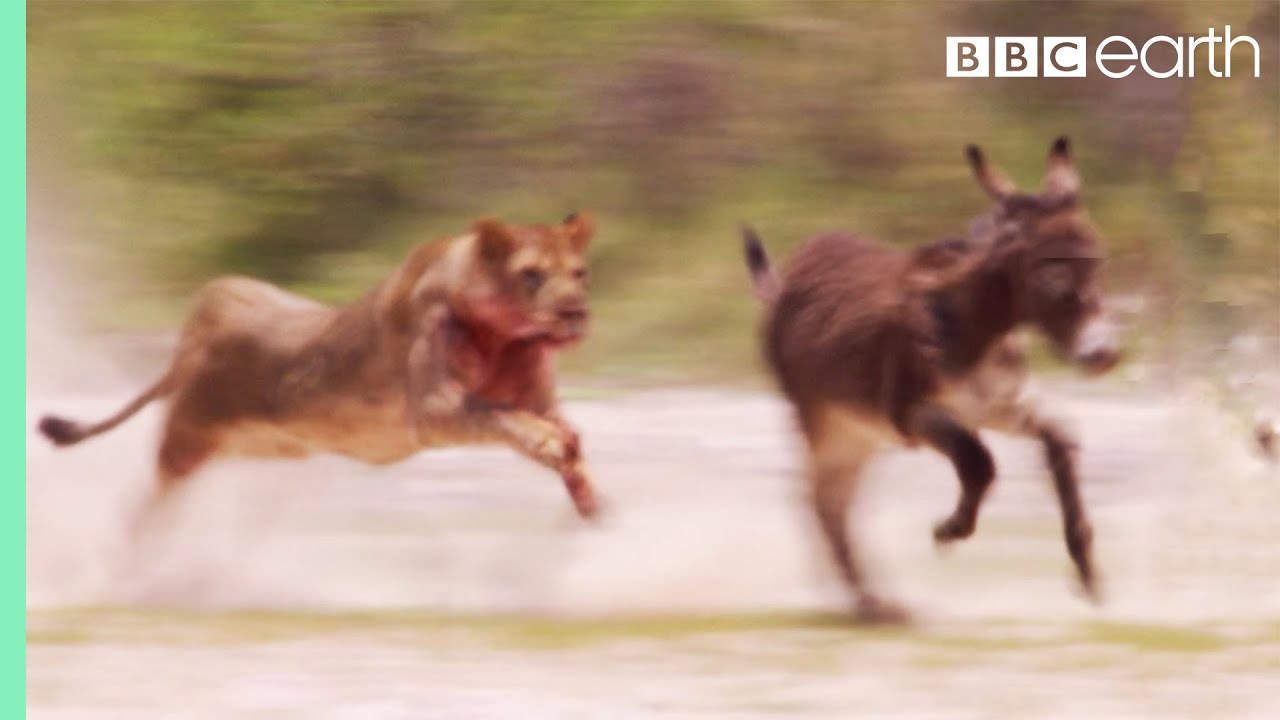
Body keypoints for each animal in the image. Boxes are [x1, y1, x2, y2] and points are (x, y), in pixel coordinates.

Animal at [37, 210, 601, 530]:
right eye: (532, 275)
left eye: (579, 273)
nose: (576, 311)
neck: (507, 337)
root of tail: (193, 337)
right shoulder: (433, 410)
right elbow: (497, 414)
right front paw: (550, 444)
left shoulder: (539, 398)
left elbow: (554, 430)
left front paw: (588, 497)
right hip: (184, 444)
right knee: (143, 511)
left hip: (254, 447)